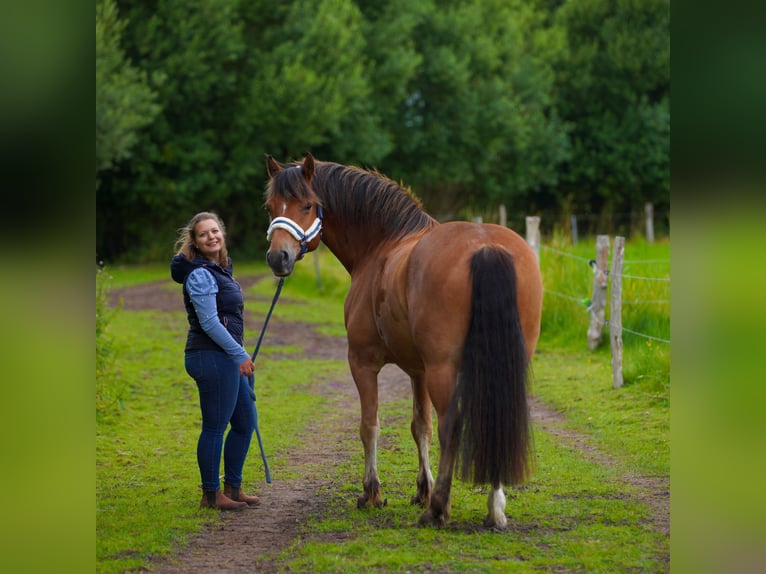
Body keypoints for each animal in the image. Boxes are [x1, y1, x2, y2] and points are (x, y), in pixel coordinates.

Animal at [268, 153, 544, 532]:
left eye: (307, 205)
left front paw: (372, 493)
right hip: (505, 365)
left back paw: (438, 510)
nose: (277, 257)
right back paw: (493, 510)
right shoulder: (418, 371)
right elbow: (419, 426)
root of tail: (487, 246)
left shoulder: (362, 363)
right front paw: (421, 490)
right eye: (270, 206)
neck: (382, 245)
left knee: (451, 427)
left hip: (445, 370)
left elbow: (370, 425)